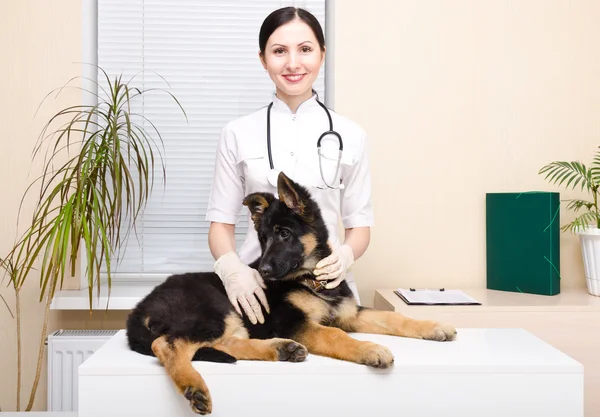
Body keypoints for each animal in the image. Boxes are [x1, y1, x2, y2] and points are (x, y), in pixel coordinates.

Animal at [125, 171, 454, 412]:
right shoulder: (294, 322)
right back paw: (194, 386)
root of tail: (139, 309)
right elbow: (336, 335)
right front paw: (370, 349)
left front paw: (434, 326)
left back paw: (281, 349)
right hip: (214, 308)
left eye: (283, 234)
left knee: (225, 343)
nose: (263, 273)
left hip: (232, 319)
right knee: (168, 344)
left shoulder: (350, 314)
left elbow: (393, 318)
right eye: (262, 238)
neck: (311, 279)